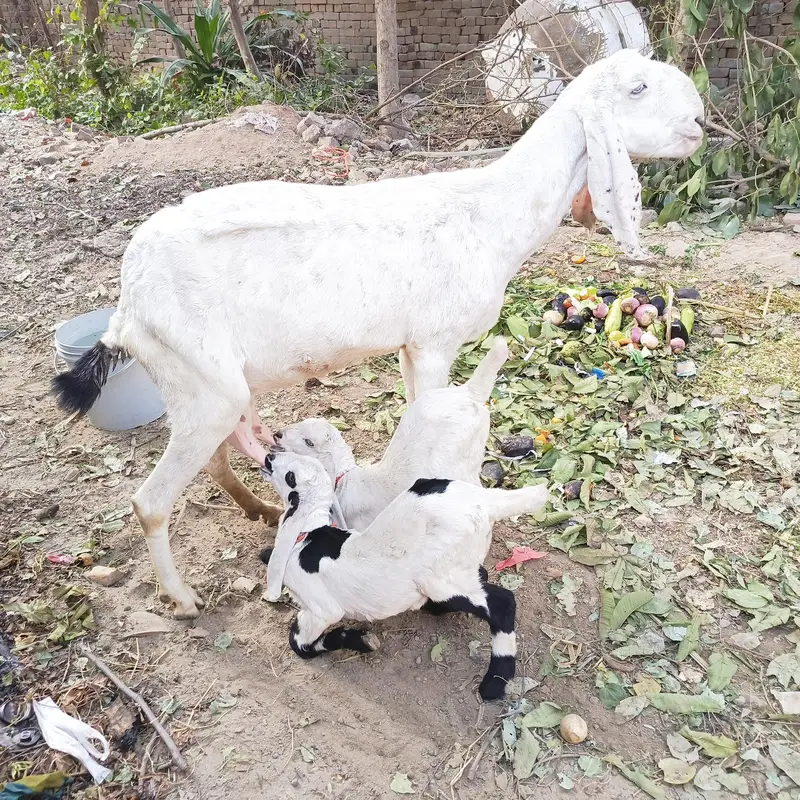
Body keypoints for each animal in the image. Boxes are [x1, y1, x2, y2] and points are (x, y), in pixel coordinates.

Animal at [260, 451, 550, 700]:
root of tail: (484, 500)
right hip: (459, 563)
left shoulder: (321, 610)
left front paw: (359, 640)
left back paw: (495, 682)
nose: (269, 457)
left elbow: (299, 644)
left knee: (502, 603)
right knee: (481, 574)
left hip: (440, 579)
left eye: (291, 477)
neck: (307, 535)